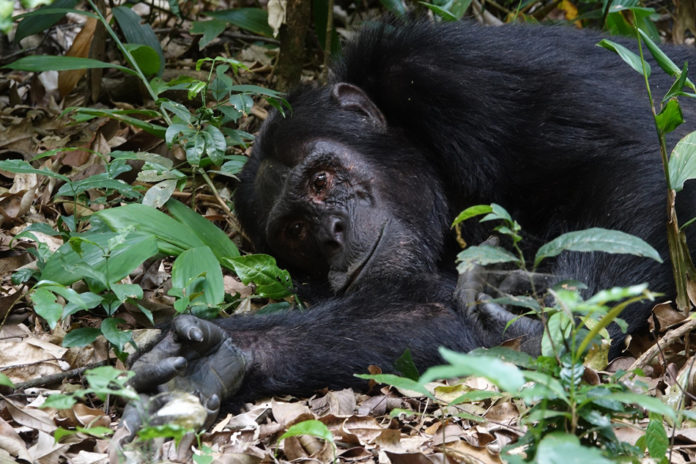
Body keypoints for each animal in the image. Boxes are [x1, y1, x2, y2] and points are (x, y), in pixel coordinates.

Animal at [123, 20, 696, 428]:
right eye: (294, 232)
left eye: (321, 181)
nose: (331, 231)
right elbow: (437, 316)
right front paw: (215, 357)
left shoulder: (461, 71)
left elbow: (637, 156)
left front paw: (564, 324)